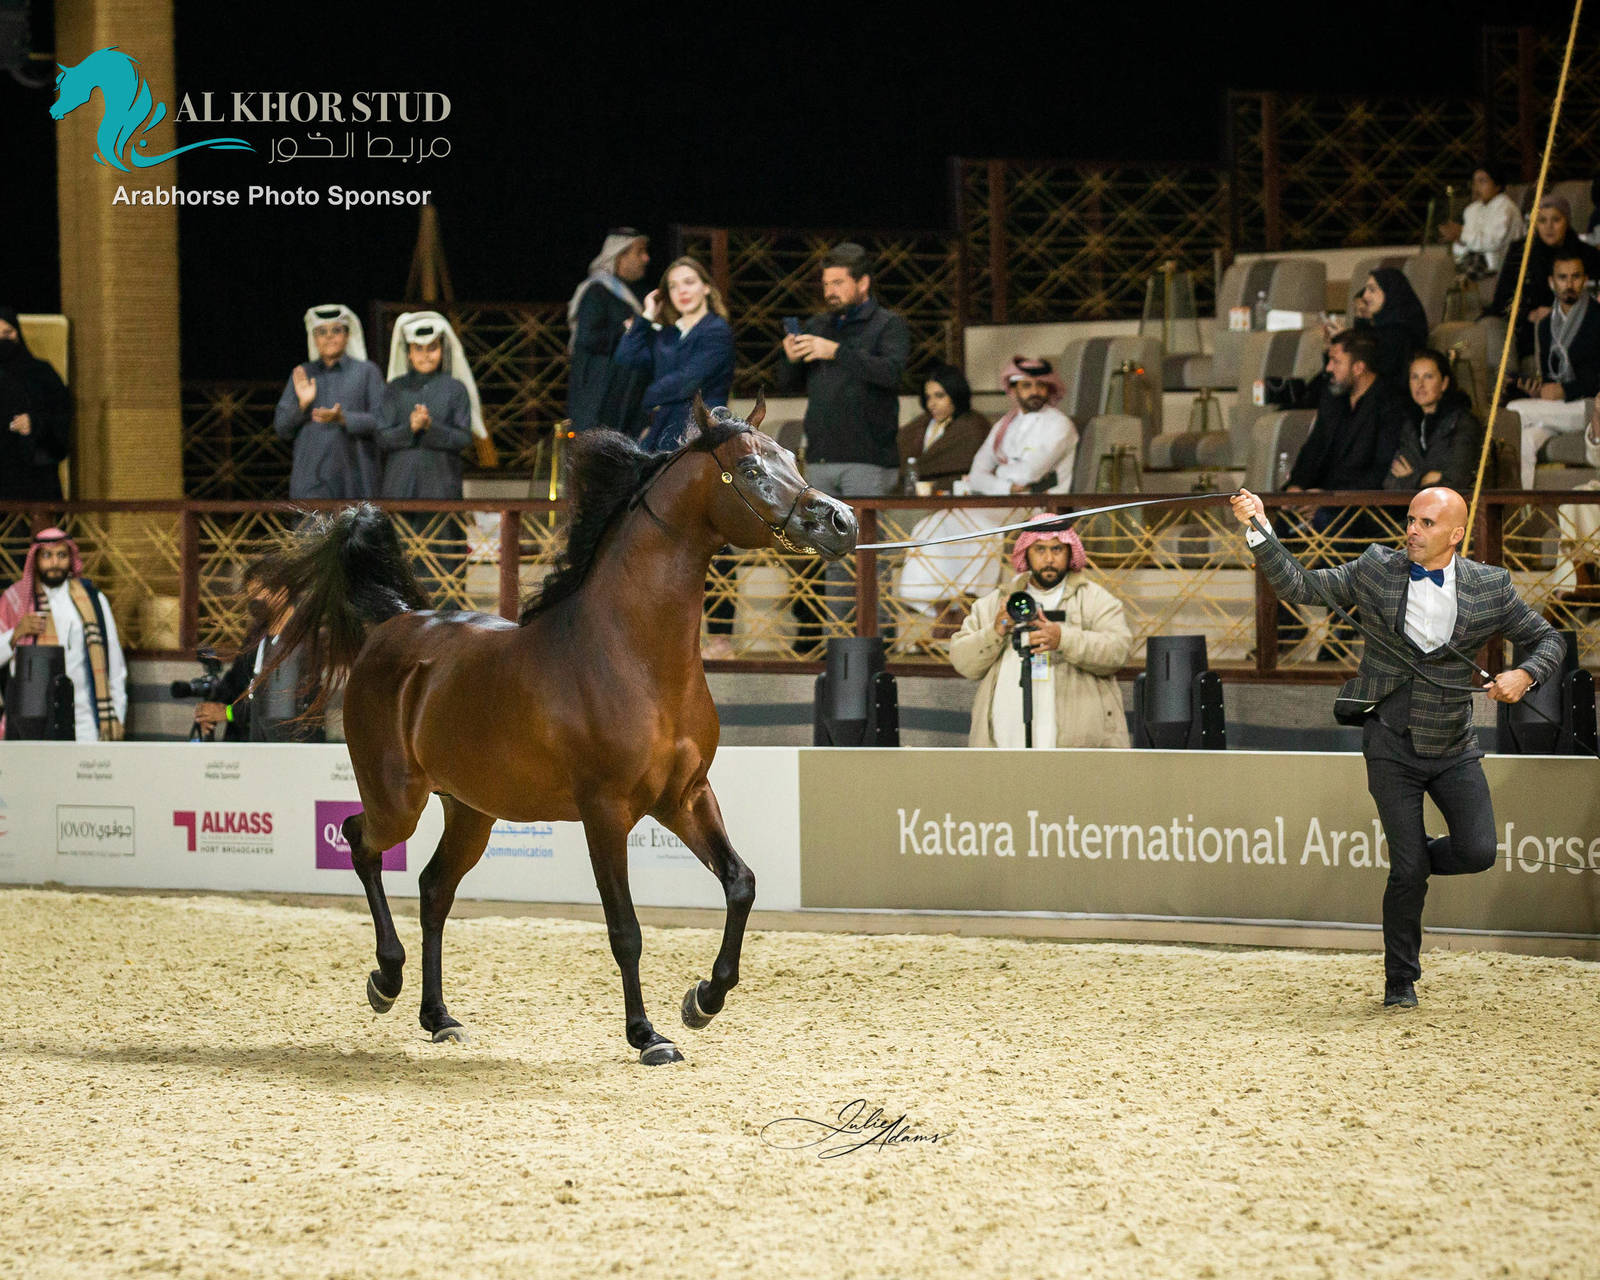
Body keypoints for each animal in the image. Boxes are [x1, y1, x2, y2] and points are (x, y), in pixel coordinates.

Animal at [269, 395, 857, 1064]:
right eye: (752, 470)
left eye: (792, 458)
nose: (841, 521)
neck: (632, 655)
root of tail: (396, 623)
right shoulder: (605, 811)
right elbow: (625, 930)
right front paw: (648, 1037)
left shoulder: (685, 796)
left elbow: (741, 884)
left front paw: (702, 1001)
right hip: (397, 799)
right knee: (360, 841)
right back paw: (385, 980)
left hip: (470, 810)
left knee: (434, 888)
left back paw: (438, 1016)